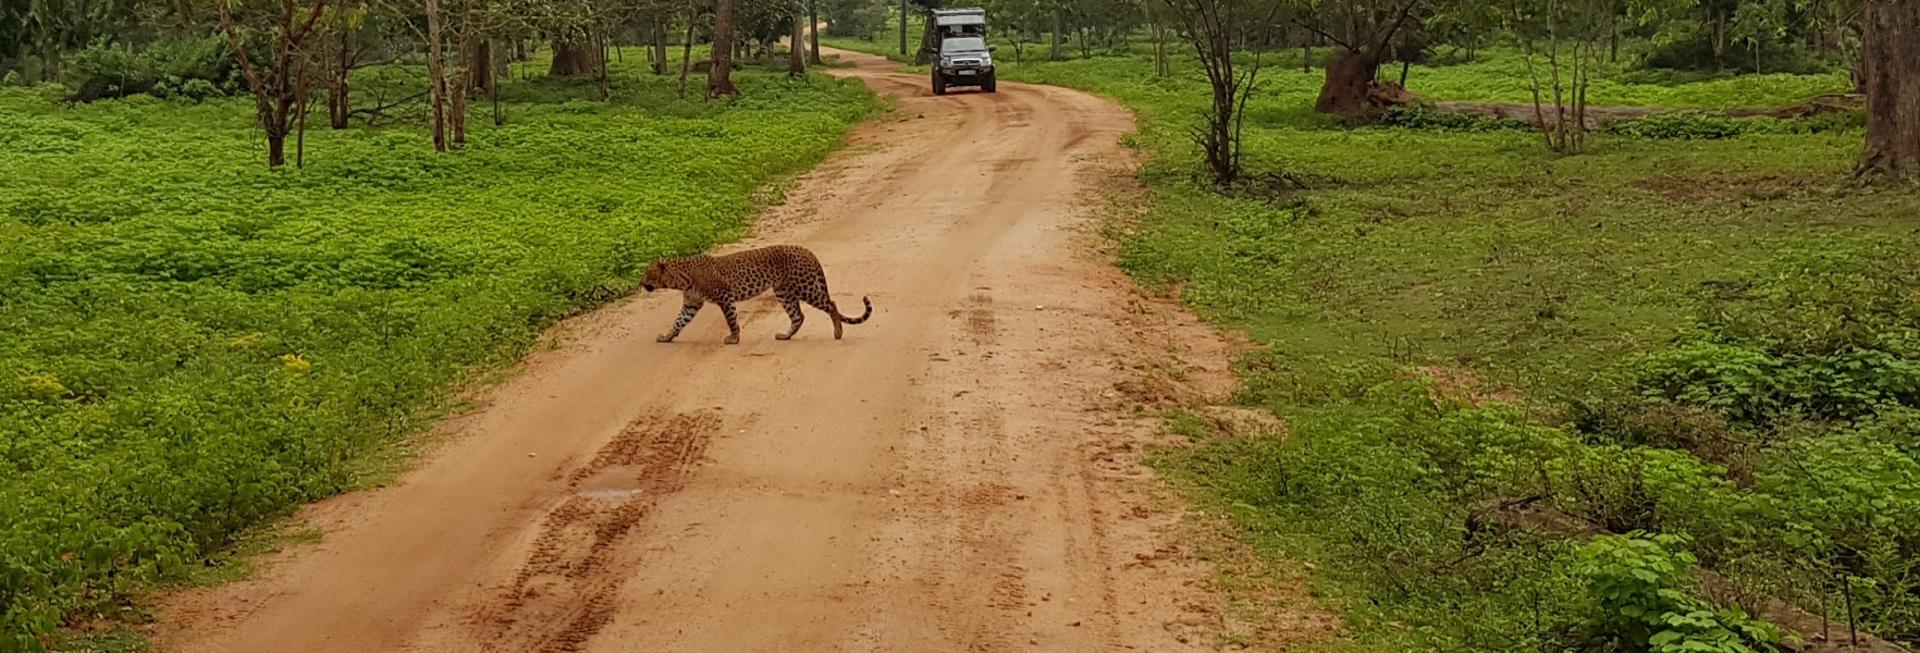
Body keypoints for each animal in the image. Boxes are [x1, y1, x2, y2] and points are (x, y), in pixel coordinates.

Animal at [641, 243, 875, 343]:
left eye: (648, 273)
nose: (640, 282)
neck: (681, 278)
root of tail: (807, 250)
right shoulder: (692, 303)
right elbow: (678, 321)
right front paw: (667, 337)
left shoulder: (724, 296)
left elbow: (731, 319)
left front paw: (734, 338)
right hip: (783, 291)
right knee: (798, 316)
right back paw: (785, 336)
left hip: (804, 286)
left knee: (831, 304)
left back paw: (838, 333)